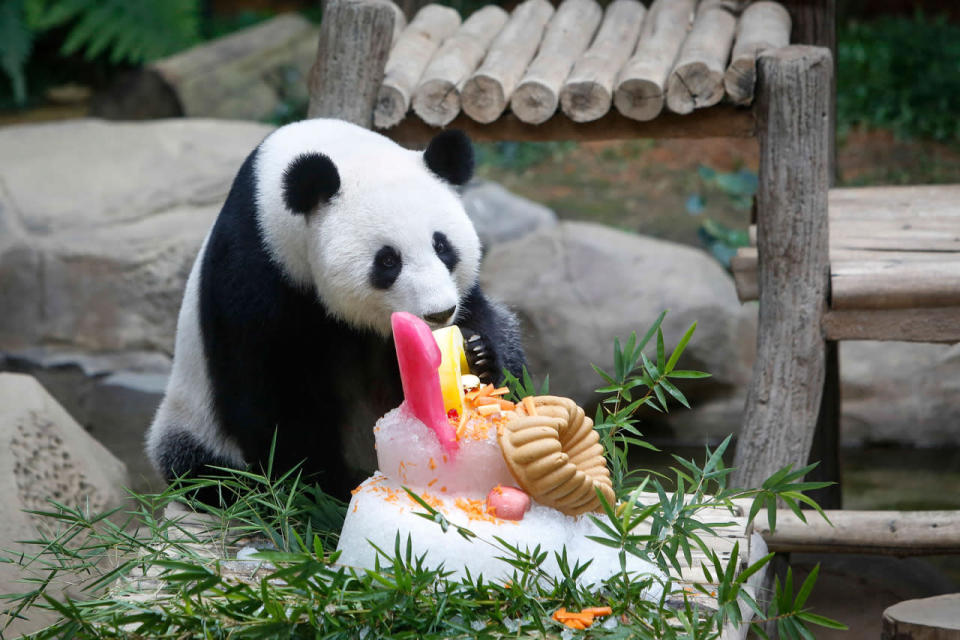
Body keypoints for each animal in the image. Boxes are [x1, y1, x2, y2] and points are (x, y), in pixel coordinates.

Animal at [144, 119, 524, 500]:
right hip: (192, 422)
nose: (439, 313)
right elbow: (272, 395)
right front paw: (315, 490)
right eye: (388, 261)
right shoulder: (256, 271)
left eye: (442, 246)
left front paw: (477, 356)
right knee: (203, 469)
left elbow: (489, 337)